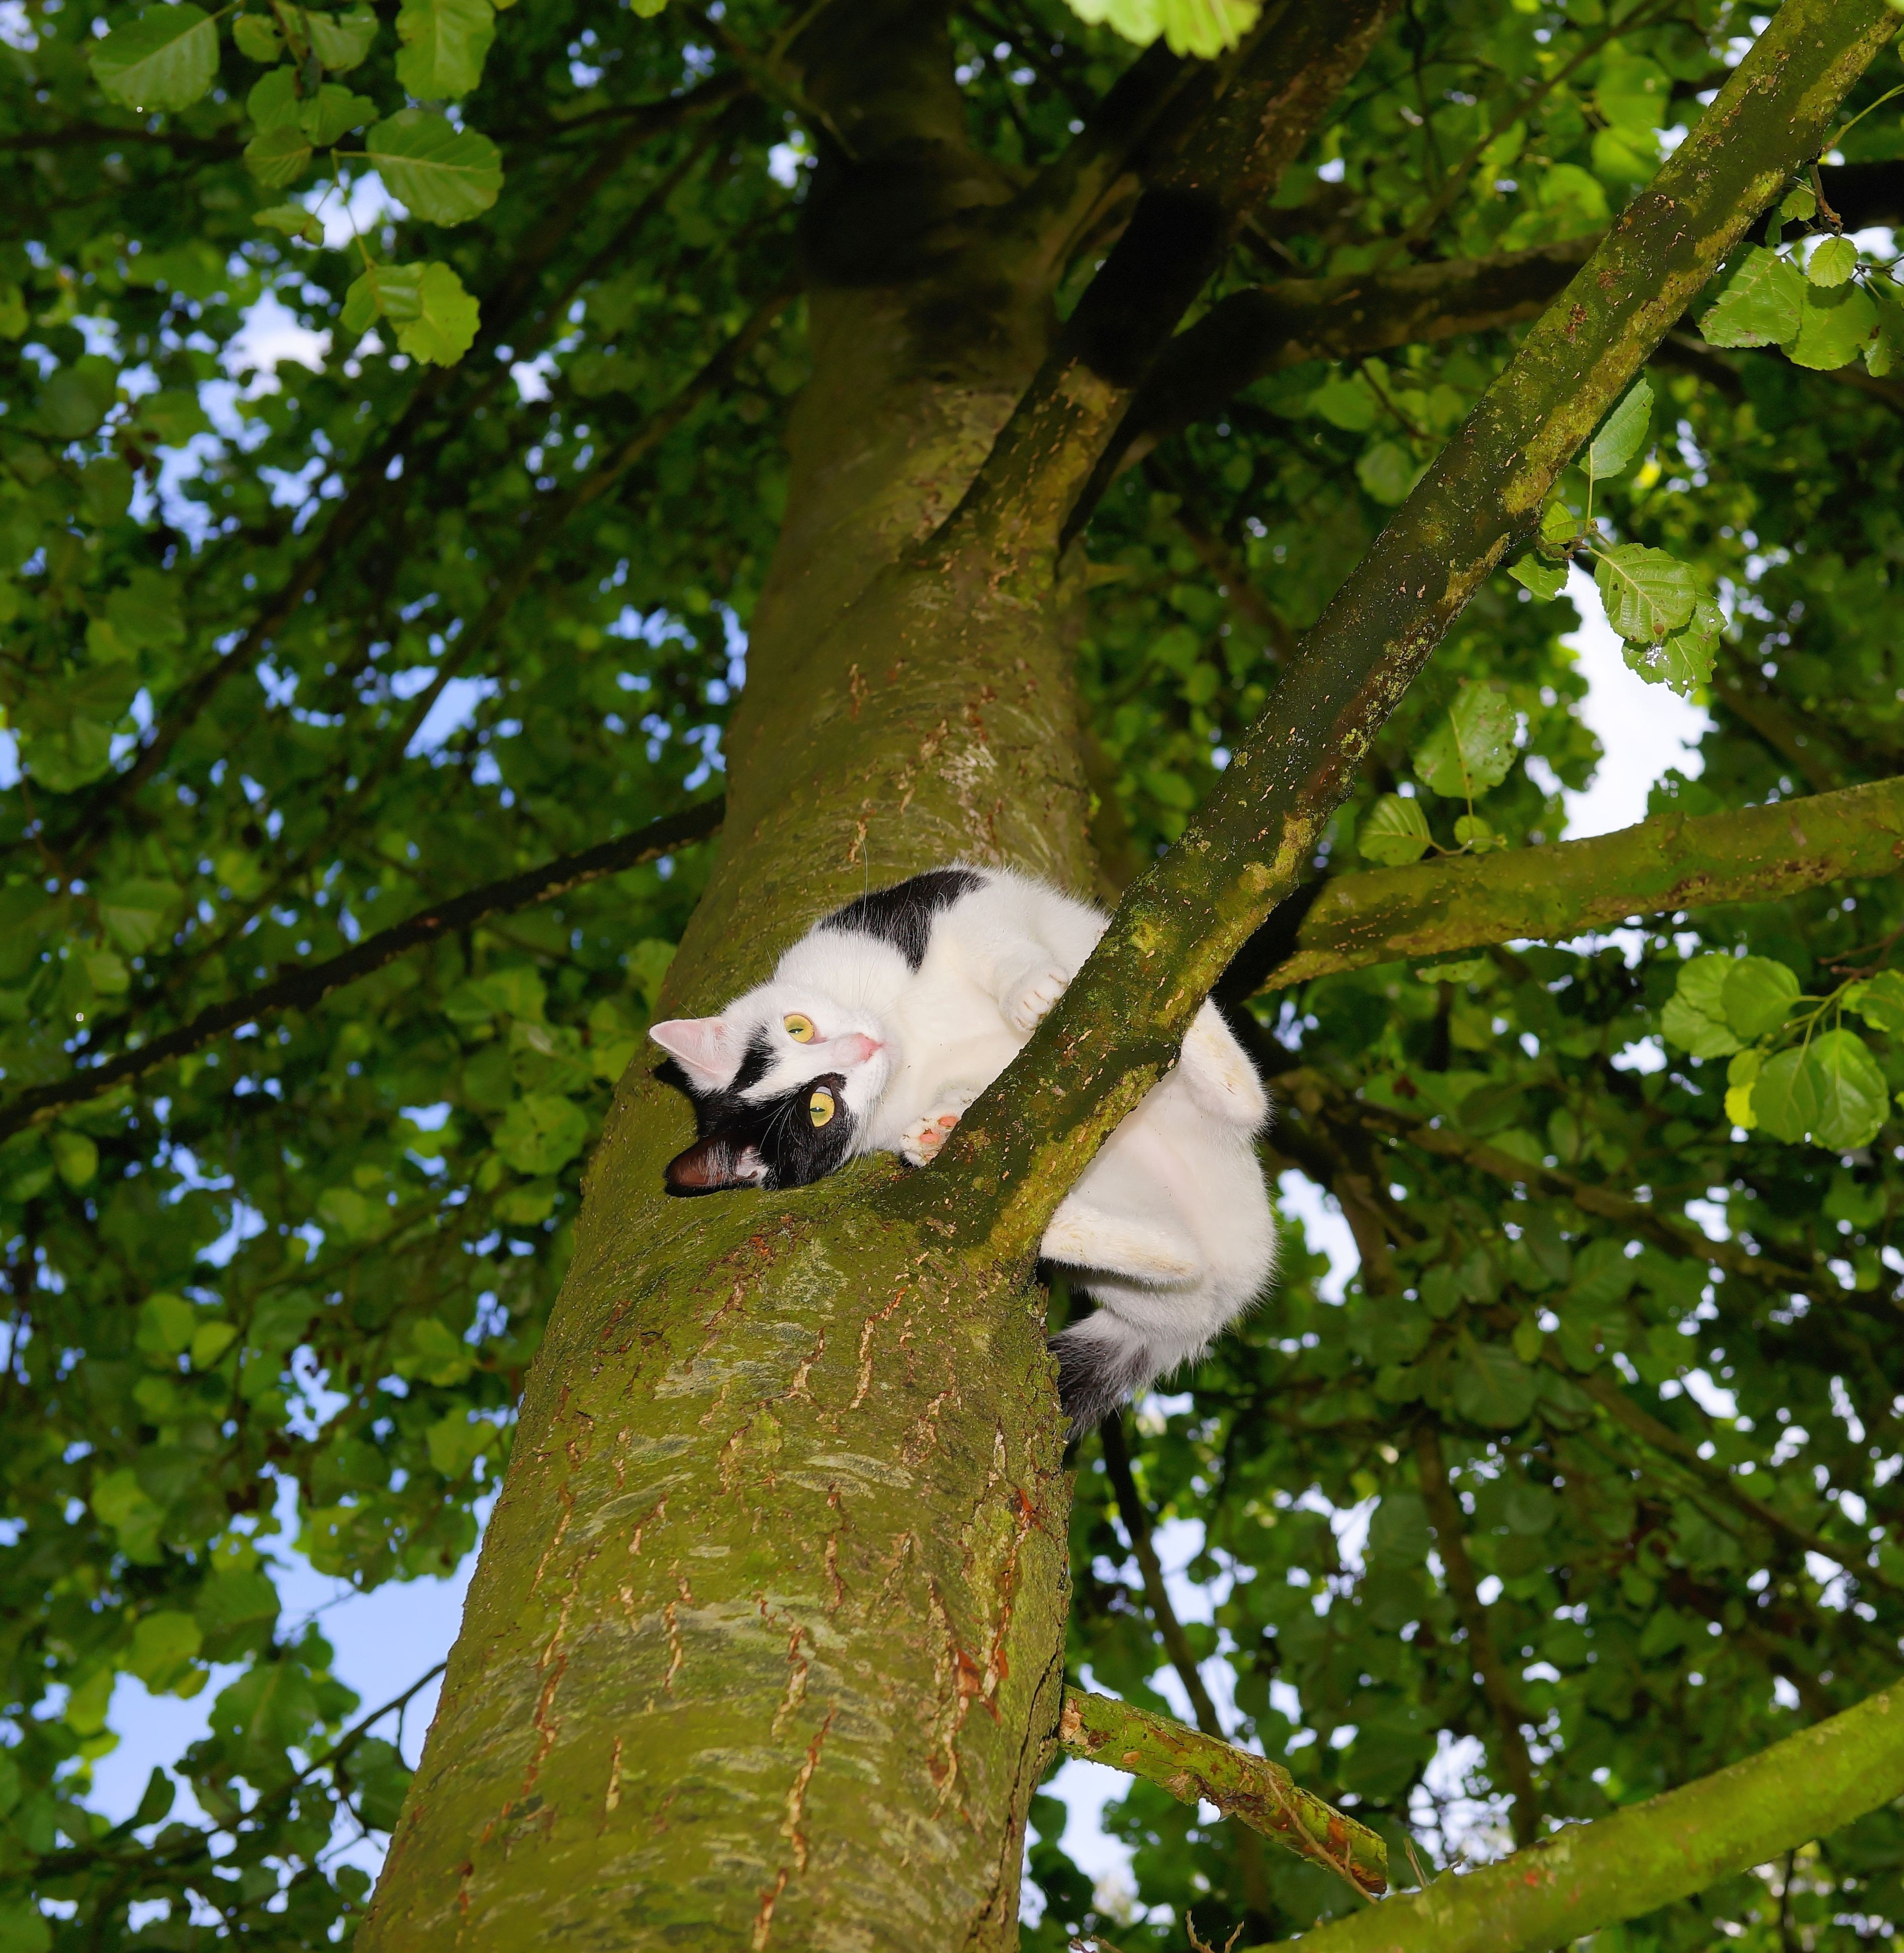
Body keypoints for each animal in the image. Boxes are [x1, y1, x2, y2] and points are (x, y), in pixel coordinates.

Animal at [648, 867, 1273, 1422]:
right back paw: (1035, 1214)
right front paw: (941, 1123)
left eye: (797, 1026)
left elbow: (985, 930)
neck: (907, 1038)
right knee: (1178, 1253)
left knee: (1244, 1101)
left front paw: (1030, 989)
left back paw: (1178, 982)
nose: (864, 1045)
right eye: (821, 1110)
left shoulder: (936, 898)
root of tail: (1237, 1277)